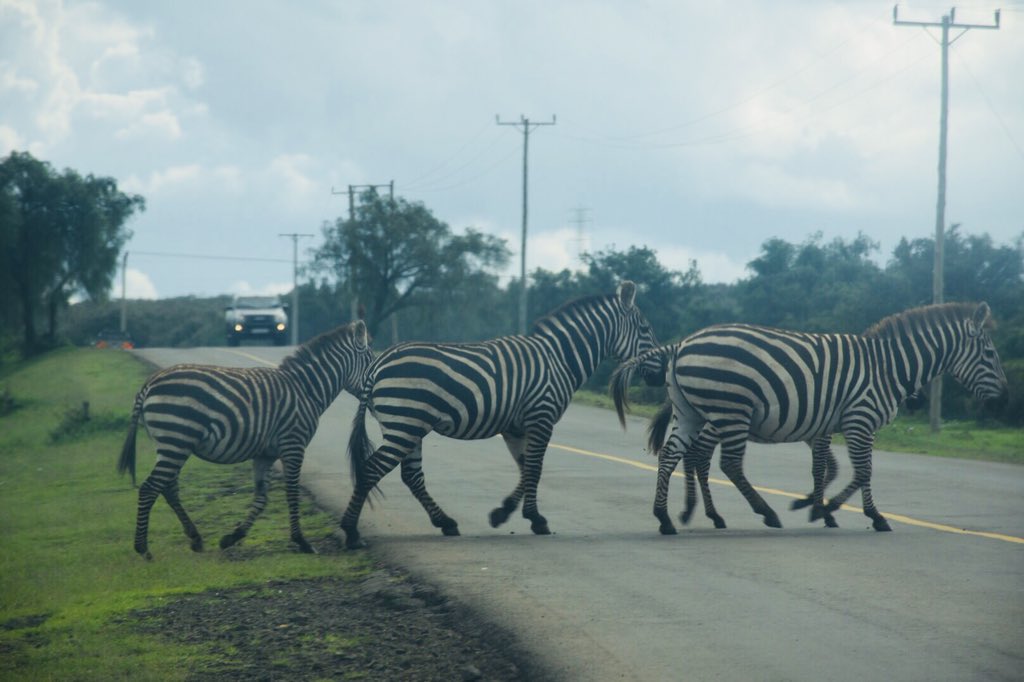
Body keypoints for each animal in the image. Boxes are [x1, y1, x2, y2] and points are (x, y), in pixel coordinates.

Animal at [118, 320, 373, 559]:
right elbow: (291, 492)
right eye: (371, 362)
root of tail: (150, 383)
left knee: (168, 488)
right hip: (177, 440)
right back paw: (143, 548)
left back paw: (195, 537)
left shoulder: (265, 454)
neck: (306, 390)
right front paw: (301, 541)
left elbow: (261, 498)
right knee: (150, 487)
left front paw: (232, 537)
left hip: (171, 443)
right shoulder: (293, 444)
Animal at [339, 281, 661, 549]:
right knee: (372, 469)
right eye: (646, 328)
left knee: (411, 475)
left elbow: (525, 468)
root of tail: (378, 364)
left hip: (408, 426)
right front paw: (536, 519)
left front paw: (503, 513)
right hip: (405, 423)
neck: (559, 359)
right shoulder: (541, 417)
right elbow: (535, 468)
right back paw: (351, 532)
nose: (660, 375)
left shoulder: (515, 427)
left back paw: (445, 522)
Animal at [611, 302, 1007, 535]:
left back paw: (667, 518)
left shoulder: (826, 426)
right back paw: (763, 512)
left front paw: (820, 508)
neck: (886, 367)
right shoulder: (860, 419)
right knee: (726, 463)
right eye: (990, 354)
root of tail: (682, 344)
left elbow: (824, 469)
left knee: (673, 456)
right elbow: (862, 471)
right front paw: (861, 514)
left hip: (691, 412)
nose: (1003, 401)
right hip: (731, 410)